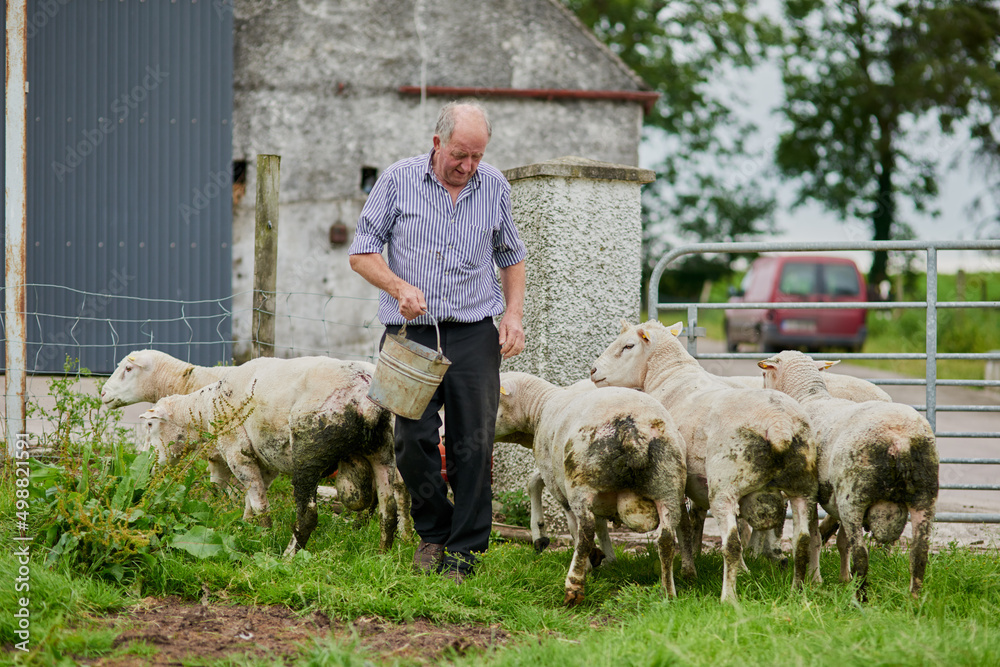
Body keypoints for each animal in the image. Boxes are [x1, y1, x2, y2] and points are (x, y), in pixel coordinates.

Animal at [100, 350, 410, 532]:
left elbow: (224, 486)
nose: (102, 393)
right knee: (392, 492)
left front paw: (227, 514)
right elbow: (252, 491)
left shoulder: (226, 451)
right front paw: (243, 519)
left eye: (127, 370)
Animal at [492, 374, 688, 608]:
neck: (541, 406)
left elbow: (572, 524)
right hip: (669, 485)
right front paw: (603, 557)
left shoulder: (557, 481)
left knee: (586, 528)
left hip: (580, 479)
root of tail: (631, 431)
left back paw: (574, 586)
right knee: (666, 540)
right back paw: (668, 594)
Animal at [592, 320, 820, 604]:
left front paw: (688, 569)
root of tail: (778, 423)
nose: (593, 371)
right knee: (802, 540)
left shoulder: (676, 481)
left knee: (731, 544)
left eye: (628, 346)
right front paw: (727, 566)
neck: (669, 376)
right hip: (802, 485)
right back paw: (797, 593)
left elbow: (683, 526)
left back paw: (728, 599)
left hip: (725, 485)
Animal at [756, 350, 936, 600]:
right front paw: (843, 578)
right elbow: (841, 541)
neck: (809, 397)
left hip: (854, 495)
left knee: (862, 553)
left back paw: (860, 598)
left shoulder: (813, 493)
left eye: (765, 373)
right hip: (924, 495)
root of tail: (898, 439)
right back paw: (914, 600)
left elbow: (814, 538)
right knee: (919, 553)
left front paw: (816, 579)